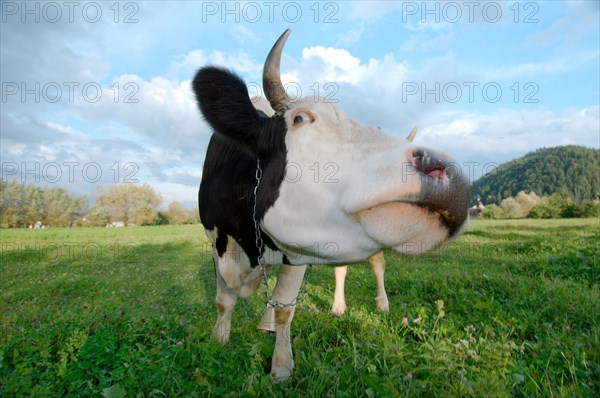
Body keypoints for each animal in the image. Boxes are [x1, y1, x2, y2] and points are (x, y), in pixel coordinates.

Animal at [195, 29, 472, 380]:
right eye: (300, 118)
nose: (445, 173)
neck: (249, 243)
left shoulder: (296, 253)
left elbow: (285, 309)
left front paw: (281, 368)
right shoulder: (215, 240)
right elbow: (223, 301)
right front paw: (220, 338)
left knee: (376, 264)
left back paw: (379, 303)